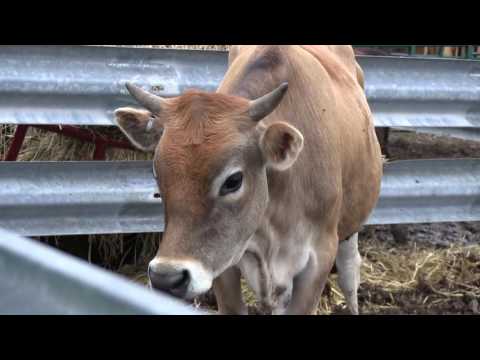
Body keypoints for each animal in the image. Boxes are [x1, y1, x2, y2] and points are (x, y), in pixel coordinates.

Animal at [115, 45, 382, 316]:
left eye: (233, 180)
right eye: (156, 173)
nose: (166, 278)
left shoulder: (319, 258)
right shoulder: (222, 259)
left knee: (349, 273)